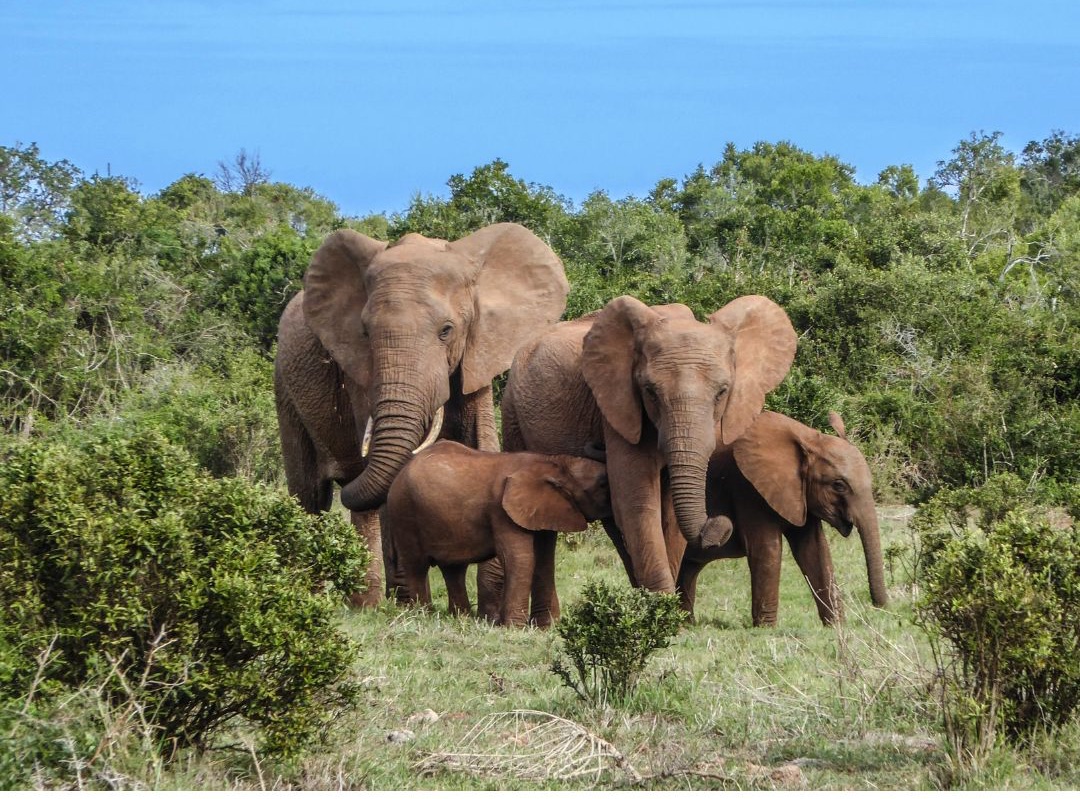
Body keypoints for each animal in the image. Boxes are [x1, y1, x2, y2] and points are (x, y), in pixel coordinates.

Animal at [274, 223, 568, 606]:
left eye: (447, 330)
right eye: (365, 333)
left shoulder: (477, 353)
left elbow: (482, 442)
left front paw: (490, 604)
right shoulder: (360, 372)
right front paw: (410, 602)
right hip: (284, 386)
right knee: (310, 496)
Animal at [381, 440, 611, 627]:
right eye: (602, 484)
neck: (554, 462)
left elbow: (544, 560)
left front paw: (548, 627)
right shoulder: (501, 511)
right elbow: (519, 559)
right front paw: (514, 628)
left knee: (453, 569)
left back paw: (461, 619)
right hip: (403, 511)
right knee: (417, 566)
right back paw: (423, 616)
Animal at [500, 294, 797, 594]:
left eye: (722, 392)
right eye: (650, 392)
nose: (720, 524)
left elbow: (668, 515)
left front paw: (664, 604)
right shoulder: (619, 406)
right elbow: (638, 502)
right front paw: (662, 604)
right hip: (512, 412)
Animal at [677, 410, 889, 626]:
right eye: (839, 485)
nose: (879, 607)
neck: (809, 438)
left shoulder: (801, 495)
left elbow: (814, 549)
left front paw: (837, 626)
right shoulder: (747, 486)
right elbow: (767, 549)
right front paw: (766, 629)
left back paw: (686, 623)